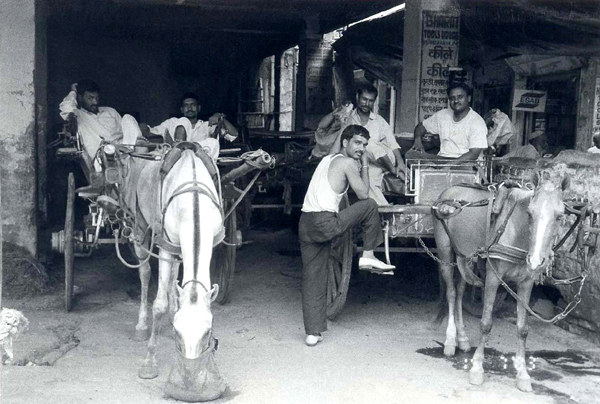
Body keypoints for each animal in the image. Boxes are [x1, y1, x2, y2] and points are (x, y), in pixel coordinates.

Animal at [432, 174, 568, 392]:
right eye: (530, 213)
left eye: (559, 216)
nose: (535, 261)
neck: (517, 232)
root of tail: (449, 190)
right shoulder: (493, 278)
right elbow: (486, 324)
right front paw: (477, 368)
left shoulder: (526, 283)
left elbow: (523, 329)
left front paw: (523, 374)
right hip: (445, 252)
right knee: (451, 293)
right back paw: (451, 340)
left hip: (465, 257)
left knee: (460, 291)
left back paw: (462, 338)